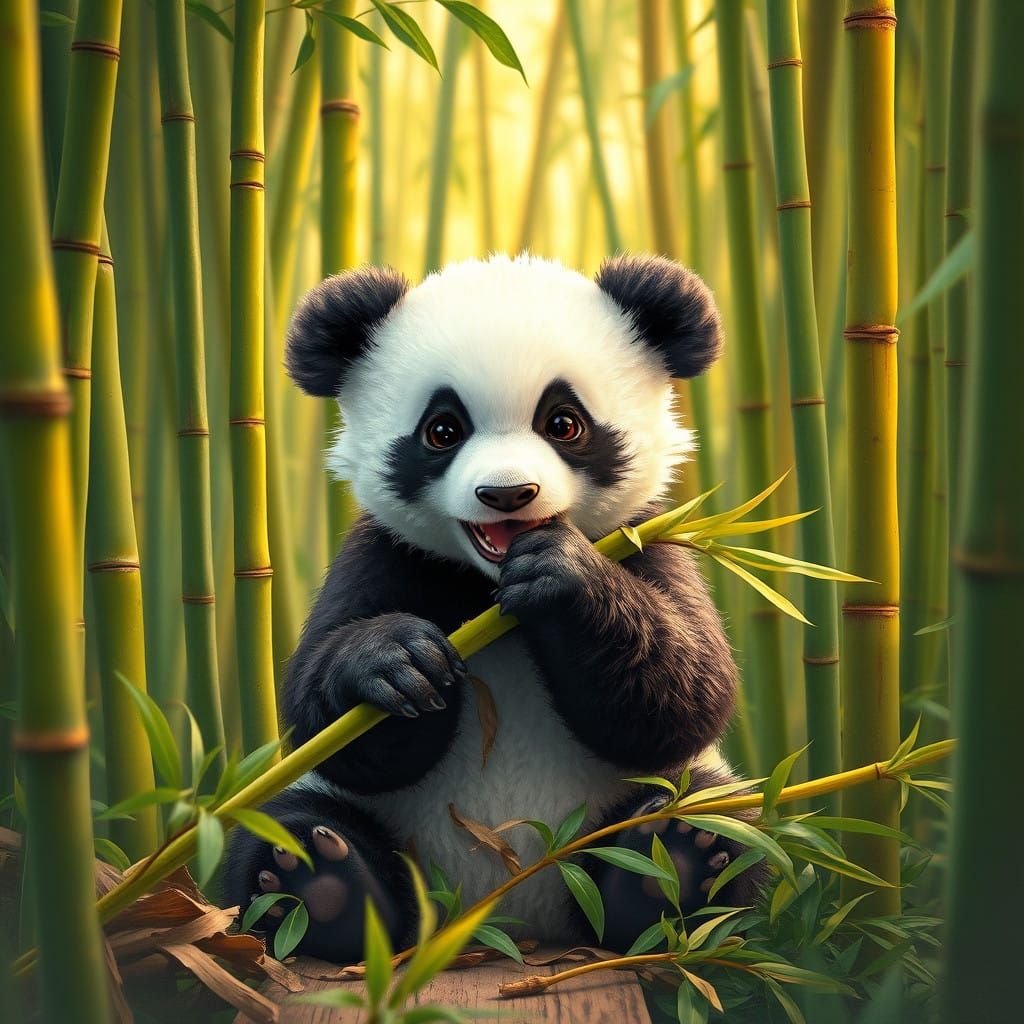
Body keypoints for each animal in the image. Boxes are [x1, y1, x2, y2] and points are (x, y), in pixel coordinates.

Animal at [224, 252, 763, 962]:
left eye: (564, 423)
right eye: (442, 430)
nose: (508, 493)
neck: (489, 591)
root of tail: (504, 920)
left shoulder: (646, 540)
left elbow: (686, 694)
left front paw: (562, 576)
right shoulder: (384, 554)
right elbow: (322, 716)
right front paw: (396, 662)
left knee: (717, 813)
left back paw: (673, 863)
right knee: (280, 828)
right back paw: (318, 884)